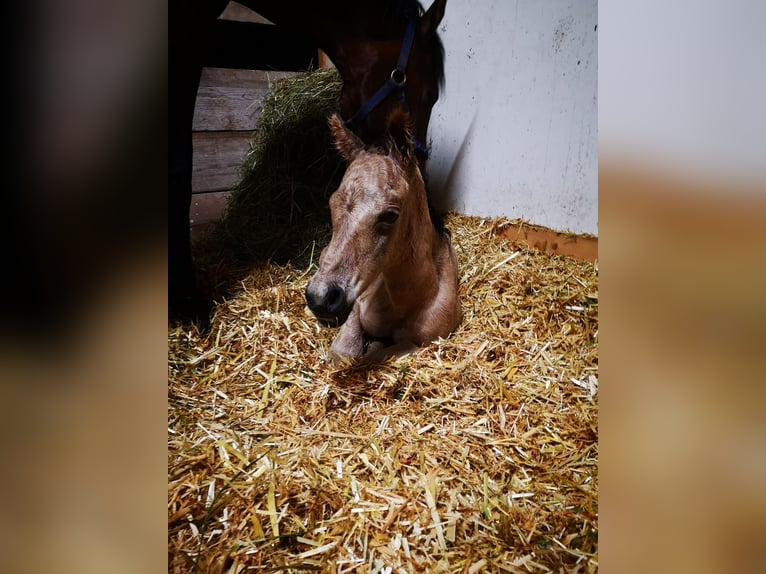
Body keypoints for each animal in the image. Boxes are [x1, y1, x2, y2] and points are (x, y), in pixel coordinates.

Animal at [306, 111, 462, 364]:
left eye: (390, 215)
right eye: (331, 203)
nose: (320, 298)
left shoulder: (426, 339)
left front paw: (374, 345)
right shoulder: (357, 307)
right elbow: (343, 355)